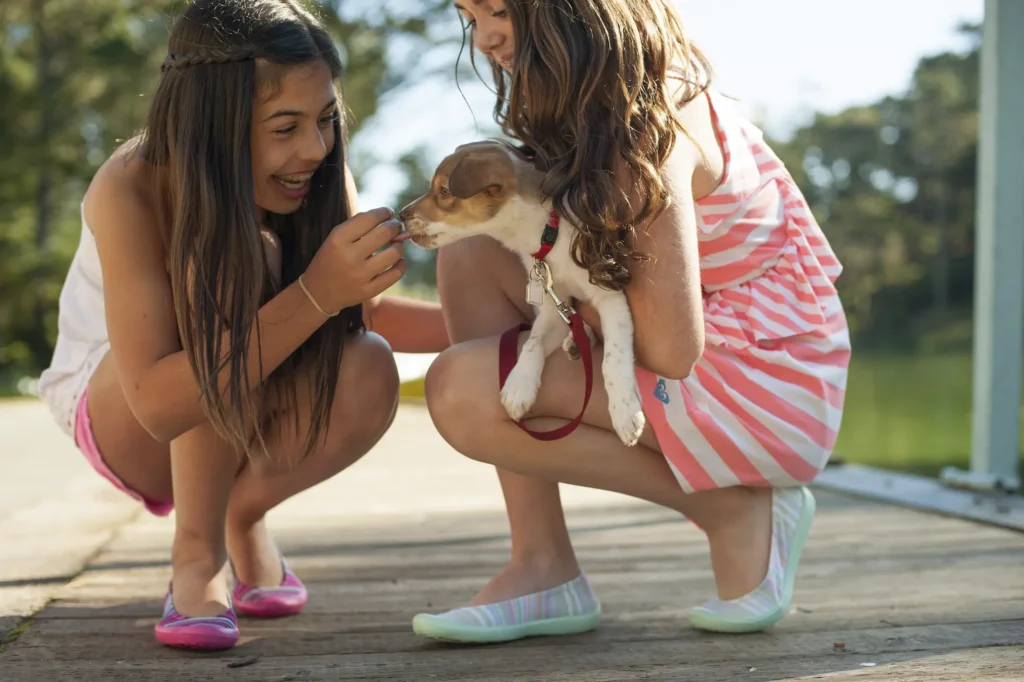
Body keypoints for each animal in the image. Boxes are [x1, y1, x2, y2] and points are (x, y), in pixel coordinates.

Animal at [397, 139, 643, 446]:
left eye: (443, 191)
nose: (400, 214)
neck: (545, 235)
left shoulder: (611, 295)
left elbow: (614, 359)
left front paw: (625, 412)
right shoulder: (551, 302)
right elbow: (533, 340)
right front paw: (518, 385)